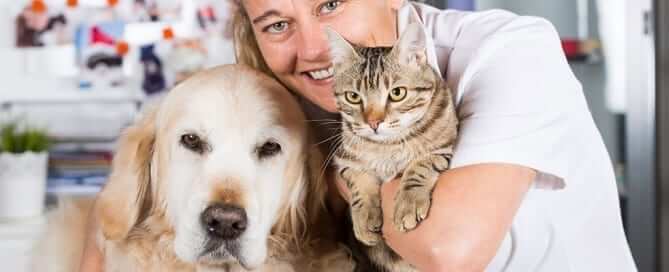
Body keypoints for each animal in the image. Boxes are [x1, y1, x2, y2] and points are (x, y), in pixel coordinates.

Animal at [324, 23, 460, 272]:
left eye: (397, 93)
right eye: (353, 97)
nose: (373, 122)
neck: (386, 145)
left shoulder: (442, 148)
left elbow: (420, 166)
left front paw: (409, 203)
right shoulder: (345, 159)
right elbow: (358, 182)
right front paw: (364, 216)